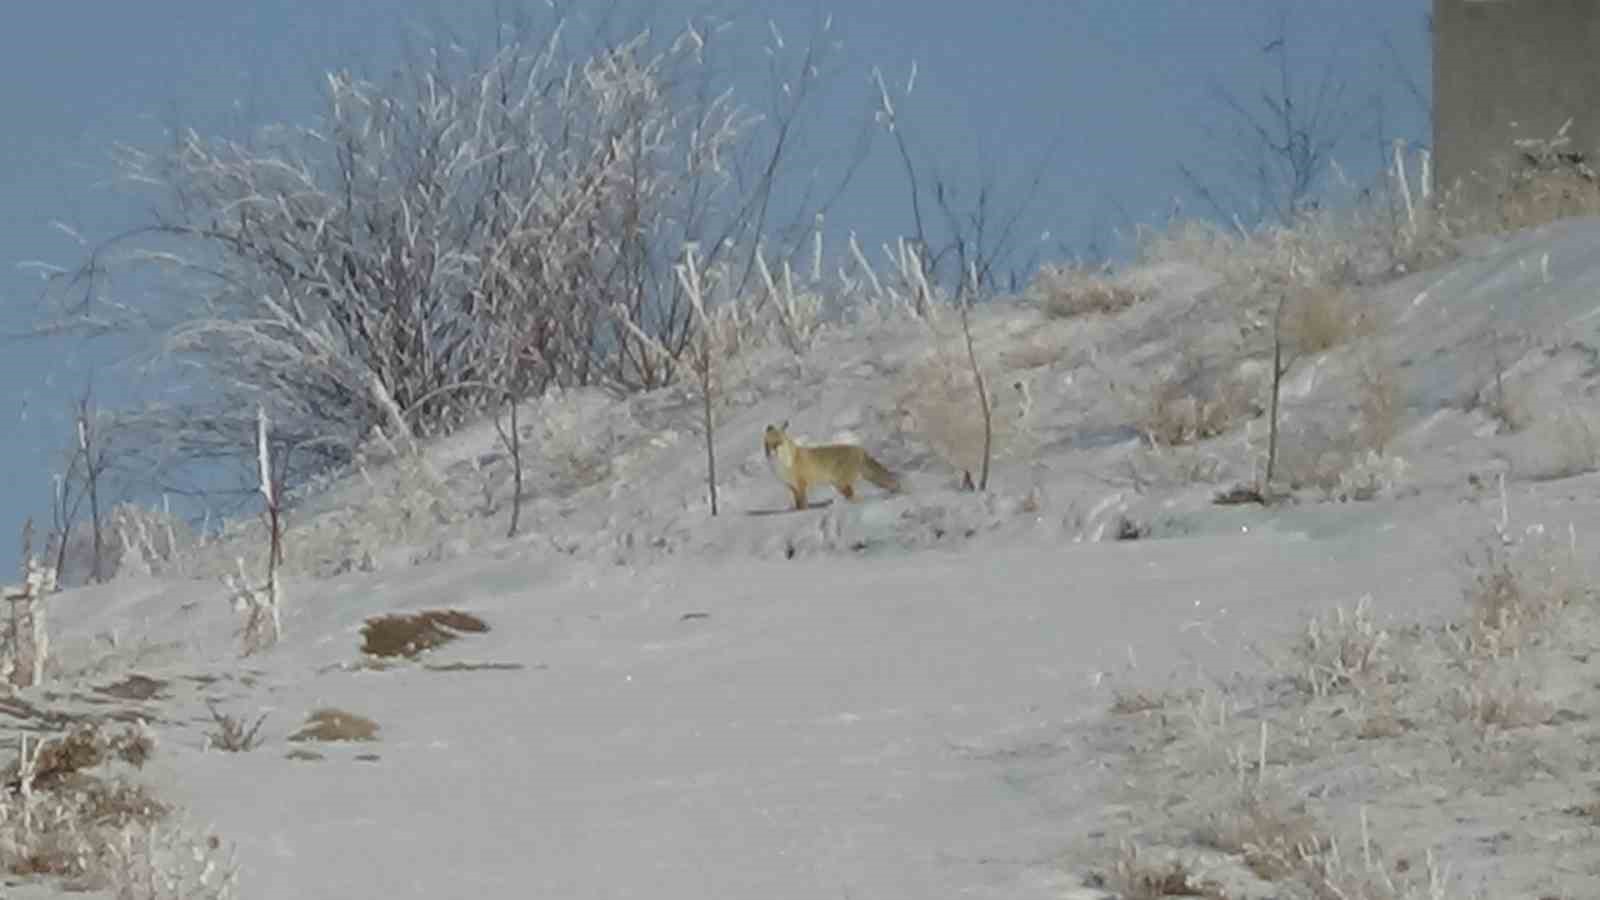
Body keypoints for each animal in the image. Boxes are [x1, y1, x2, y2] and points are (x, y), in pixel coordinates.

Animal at [761, 422, 902, 509]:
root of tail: (860, 449)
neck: (784, 464)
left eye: (778, 443)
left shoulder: (802, 485)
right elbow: (798, 505)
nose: (772, 452)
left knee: (855, 498)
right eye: (768, 444)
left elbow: (803, 504)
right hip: (840, 484)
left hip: (841, 484)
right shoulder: (793, 487)